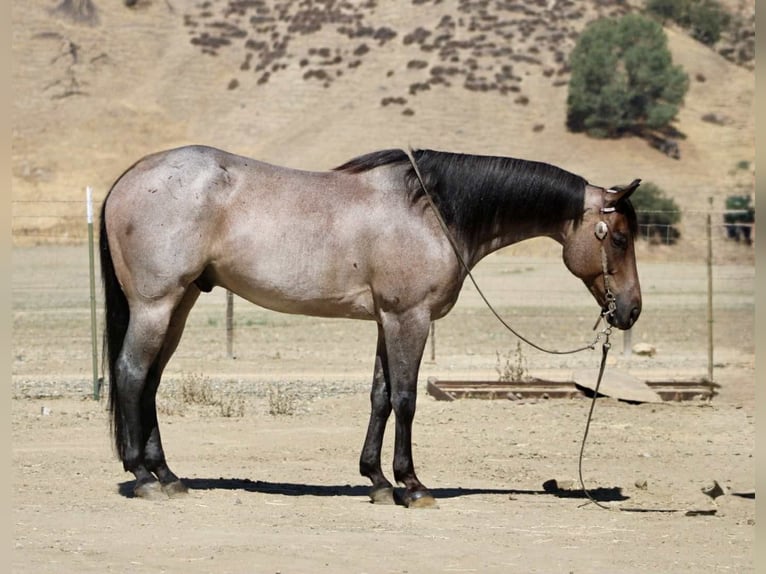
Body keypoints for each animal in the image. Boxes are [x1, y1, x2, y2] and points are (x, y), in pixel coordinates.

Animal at [100, 145, 641, 507]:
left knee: (150, 381)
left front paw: (377, 481)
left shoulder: (387, 321)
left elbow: (380, 397)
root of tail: (131, 175)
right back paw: (144, 477)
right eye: (618, 237)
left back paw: (166, 474)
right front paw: (412, 485)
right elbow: (406, 399)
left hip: (181, 303)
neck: (431, 212)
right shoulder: (409, 319)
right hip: (156, 304)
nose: (631, 311)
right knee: (131, 373)